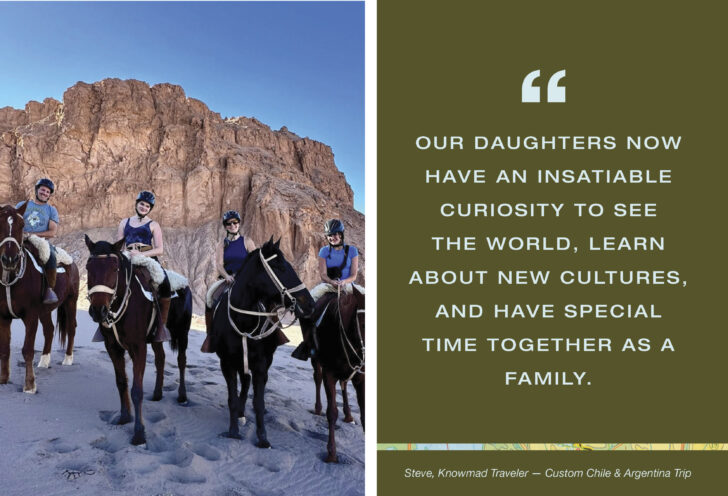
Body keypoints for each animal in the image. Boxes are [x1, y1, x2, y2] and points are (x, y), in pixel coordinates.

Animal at [0, 203, 80, 394]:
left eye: (22, 226)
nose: (9, 259)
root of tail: (72, 262)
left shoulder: (30, 316)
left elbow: (28, 350)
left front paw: (29, 385)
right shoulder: (4, 317)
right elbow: (4, 349)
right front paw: (3, 379)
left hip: (71, 301)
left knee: (71, 328)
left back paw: (68, 359)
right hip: (45, 311)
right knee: (49, 330)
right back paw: (44, 361)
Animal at [85, 234, 192, 444]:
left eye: (114, 268)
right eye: (87, 267)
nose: (98, 311)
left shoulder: (138, 347)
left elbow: (137, 390)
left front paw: (139, 433)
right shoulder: (113, 347)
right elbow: (121, 382)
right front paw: (125, 417)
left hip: (182, 333)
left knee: (182, 361)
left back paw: (182, 396)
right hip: (158, 337)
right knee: (160, 359)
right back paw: (158, 393)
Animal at [209, 238, 314, 448]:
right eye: (280, 266)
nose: (310, 305)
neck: (243, 319)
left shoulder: (260, 364)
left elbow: (258, 402)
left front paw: (263, 437)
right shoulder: (227, 363)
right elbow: (232, 398)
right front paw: (233, 431)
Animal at [302, 284, 364, 464]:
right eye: (363, 323)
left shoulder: (361, 377)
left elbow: (364, 413)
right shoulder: (329, 374)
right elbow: (332, 413)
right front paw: (331, 453)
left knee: (343, 384)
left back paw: (349, 414)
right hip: (316, 359)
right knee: (317, 377)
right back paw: (318, 408)